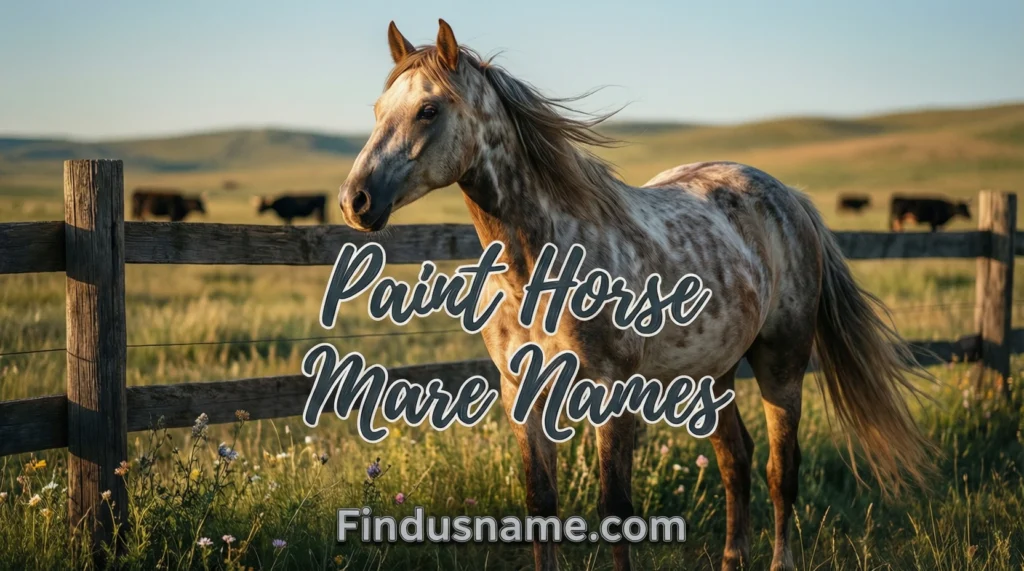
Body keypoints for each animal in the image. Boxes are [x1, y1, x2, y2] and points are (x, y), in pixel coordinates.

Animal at [336, 19, 934, 571]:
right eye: (379, 108)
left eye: (428, 110)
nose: (354, 200)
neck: (541, 267)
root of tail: (789, 196)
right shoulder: (522, 396)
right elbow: (541, 505)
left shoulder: (612, 395)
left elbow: (615, 508)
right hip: (713, 373)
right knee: (735, 462)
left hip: (781, 362)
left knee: (780, 470)